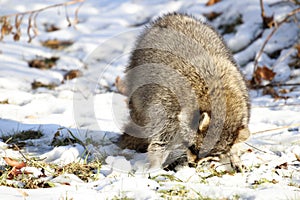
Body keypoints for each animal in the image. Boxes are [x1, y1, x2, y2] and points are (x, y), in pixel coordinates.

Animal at [118, 13, 251, 171]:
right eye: (193, 147)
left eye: (210, 155)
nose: (193, 165)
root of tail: (172, 17)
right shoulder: (168, 103)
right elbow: (161, 137)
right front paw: (156, 165)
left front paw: (235, 154)